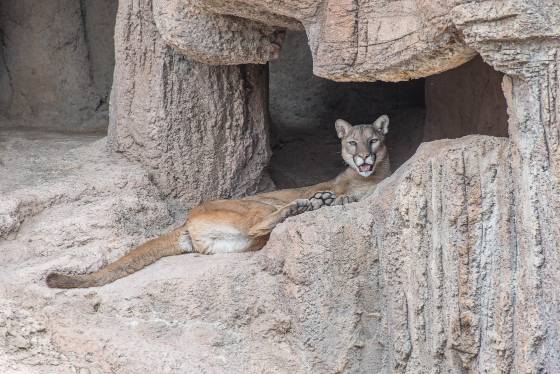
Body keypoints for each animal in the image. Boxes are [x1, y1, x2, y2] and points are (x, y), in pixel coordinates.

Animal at [44, 115, 390, 288]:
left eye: (373, 140)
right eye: (352, 142)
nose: (364, 157)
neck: (370, 176)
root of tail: (186, 220)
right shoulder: (344, 187)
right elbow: (345, 195)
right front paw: (331, 197)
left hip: (235, 244)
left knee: (256, 233)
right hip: (255, 206)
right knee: (260, 222)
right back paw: (308, 204)